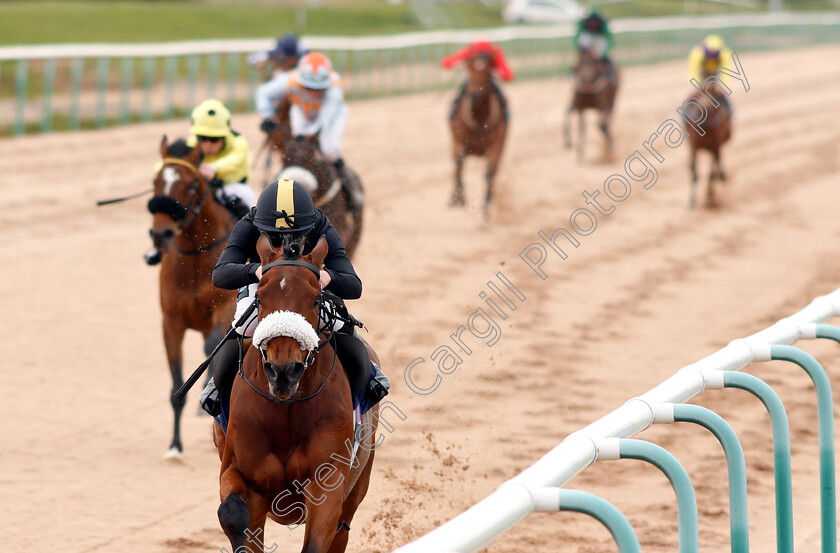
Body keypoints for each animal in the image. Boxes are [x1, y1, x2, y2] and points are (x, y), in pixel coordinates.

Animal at [148, 137, 236, 458]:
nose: (161, 233)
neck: (197, 256)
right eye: (156, 182)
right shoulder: (171, 323)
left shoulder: (225, 309)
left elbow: (212, 346)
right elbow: (176, 387)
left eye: (189, 185)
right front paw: (174, 446)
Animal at [215, 235, 378, 552]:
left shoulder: (329, 482)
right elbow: (232, 512)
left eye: (315, 299)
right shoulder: (237, 471)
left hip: (357, 486)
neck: (286, 409)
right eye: (259, 298)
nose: (283, 371)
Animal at [450, 49, 508, 218]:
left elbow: (489, 173)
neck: (479, 117)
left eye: (487, 70)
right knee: (456, 167)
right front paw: (459, 200)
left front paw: (486, 208)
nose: (475, 94)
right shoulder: (459, 142)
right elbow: (459, 165)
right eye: (469, 68)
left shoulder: (496, 145)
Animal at [684, 74, 732, 208]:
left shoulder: (715, 147)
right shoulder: (694, 146)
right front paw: (691, 202)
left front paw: (710, 197)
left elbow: (711, 174)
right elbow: (695, 173)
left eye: (713, 94)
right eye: (701, 92)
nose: (700, 109)